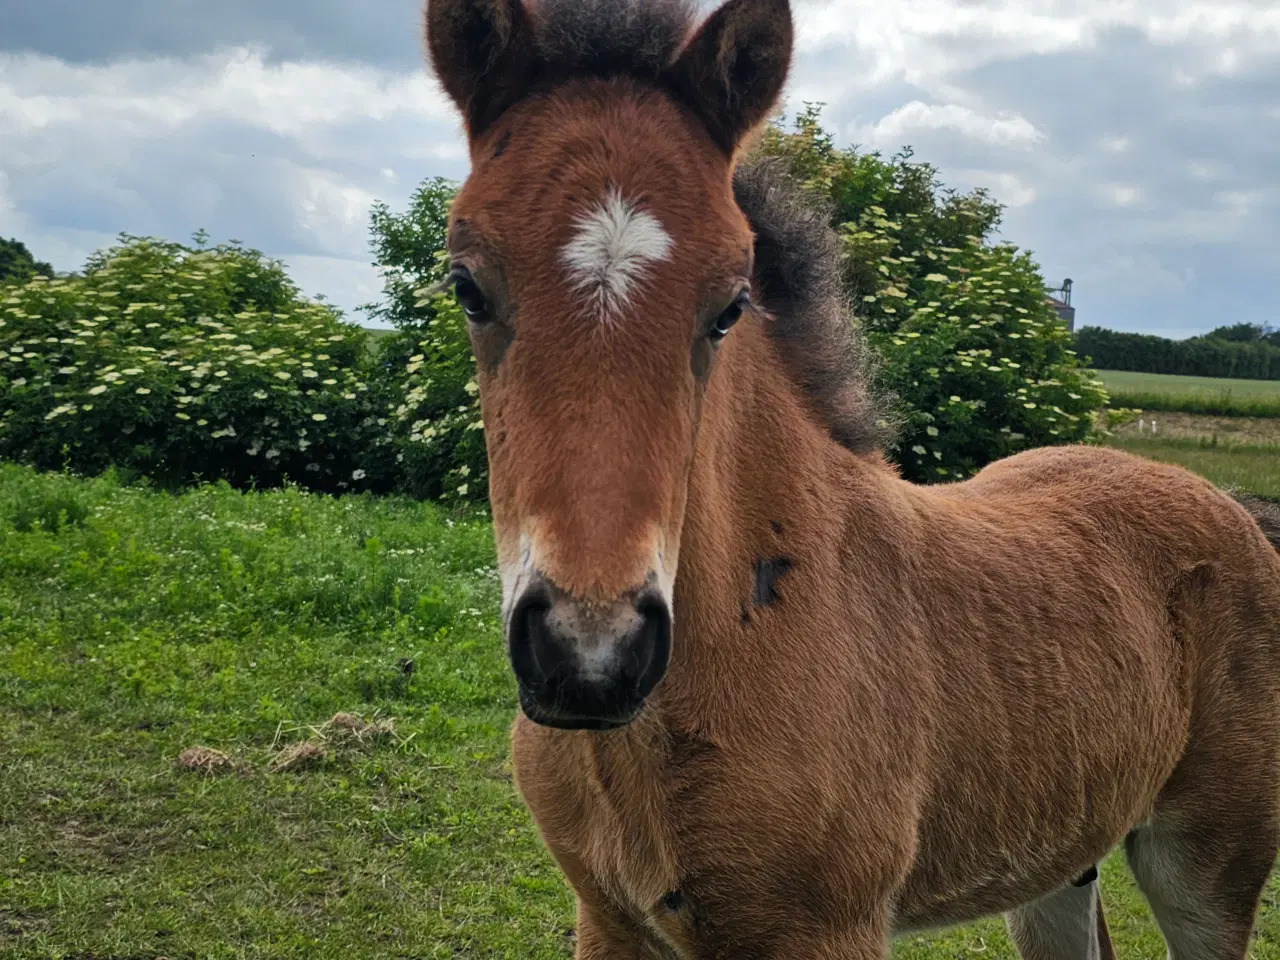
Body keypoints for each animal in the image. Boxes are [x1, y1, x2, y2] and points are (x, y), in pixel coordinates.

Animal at [419, 0, 1280, 952]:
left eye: (729, 305)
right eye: (466, 285)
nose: (590, 656)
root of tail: (1230, 506)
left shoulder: (830, 930)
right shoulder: (606, 918)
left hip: (1209, 864)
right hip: (1057, 864)